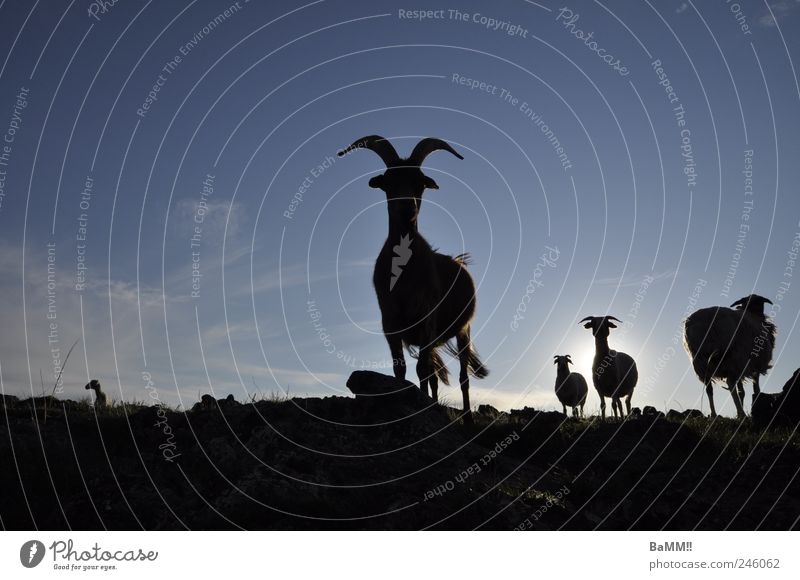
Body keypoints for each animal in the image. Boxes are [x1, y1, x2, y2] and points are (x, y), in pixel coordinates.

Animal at [338, 134, 488, 420]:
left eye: (420, 183)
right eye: (388, 182)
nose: (407, 205)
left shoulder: (426, 319)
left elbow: (422, 371)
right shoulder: (390, 324)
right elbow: (402, 370)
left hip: (463, 330)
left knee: (462, 376)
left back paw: (467, 419)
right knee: (433, 375)